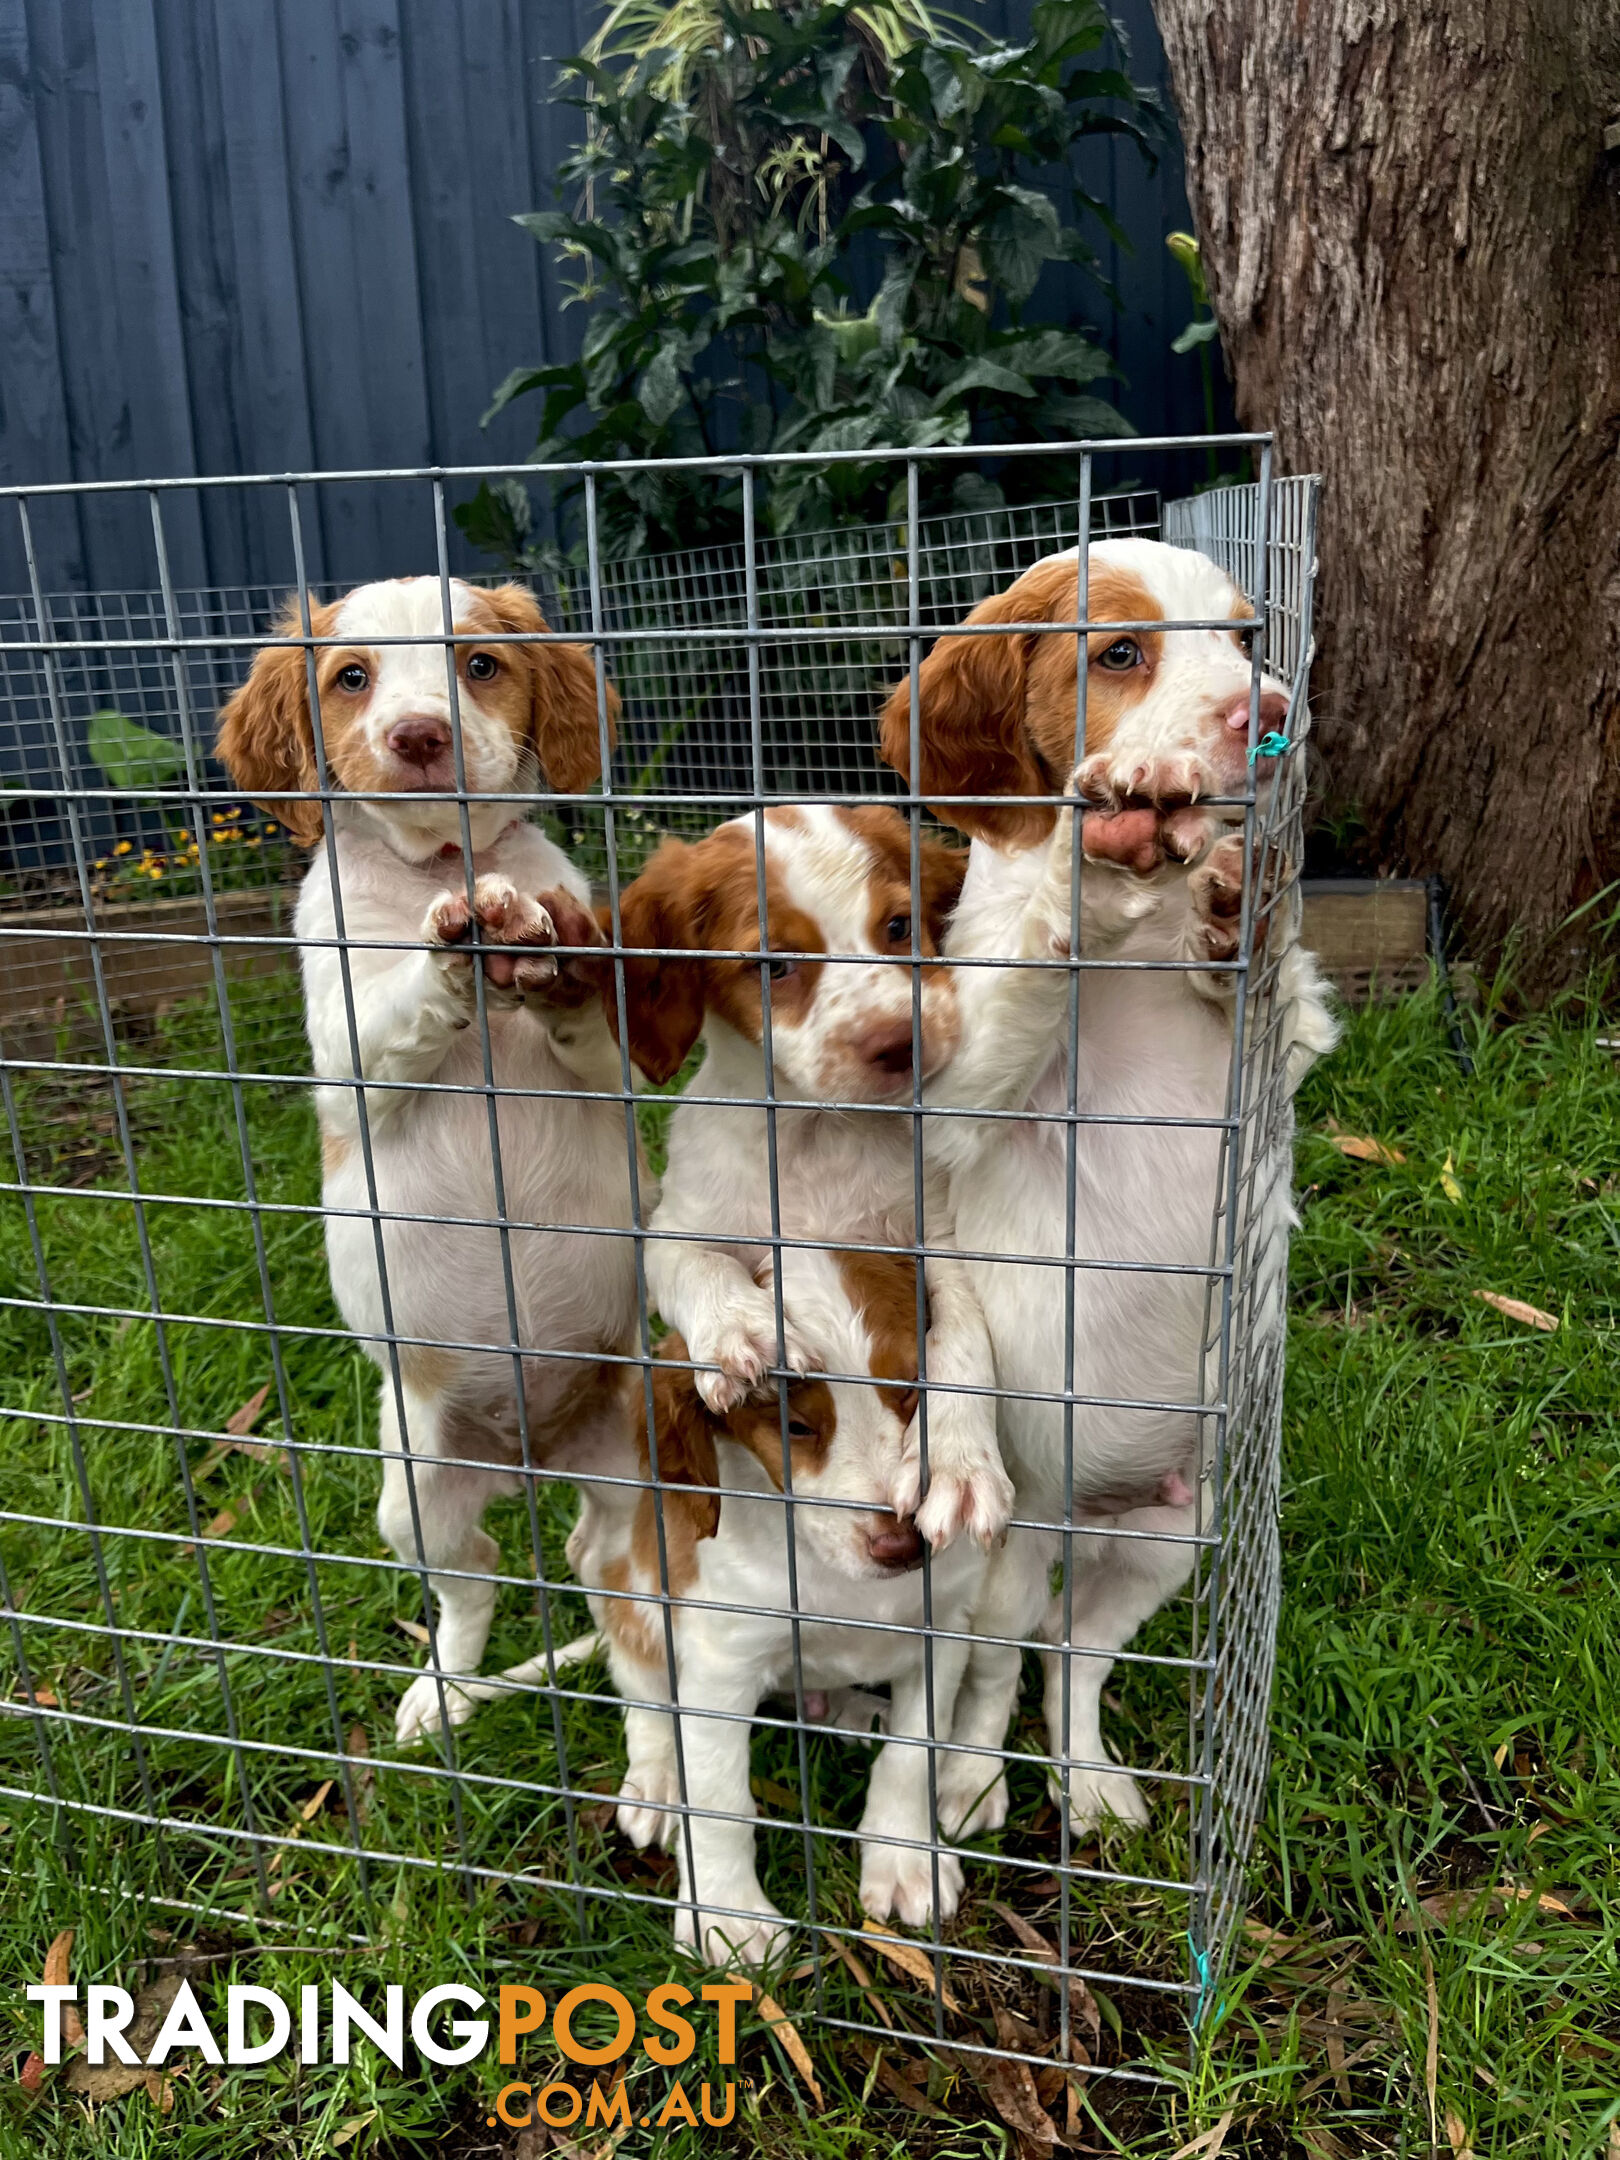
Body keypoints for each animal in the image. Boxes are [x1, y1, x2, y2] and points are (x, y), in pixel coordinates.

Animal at [217, 583, 648, 1745]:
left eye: (481, 665)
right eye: (350, 677)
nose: (419, 735)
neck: (451, 862)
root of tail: (531, 1455)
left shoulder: (618, 1069)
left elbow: (588, 1015)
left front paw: (547, 958)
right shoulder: (343, 1054)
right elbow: (397, 1010)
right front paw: (447, 950)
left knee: (600, 1556)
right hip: (414, 1487)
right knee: (476, 1579)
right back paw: (441, 1699)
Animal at [570, 1244, 989, 1969]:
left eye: (913, 1390)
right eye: (793, 1425)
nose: (903, 1545)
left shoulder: (942, 1632)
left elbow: (913, 1754)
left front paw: (905, 1860)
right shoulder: (721, 1666)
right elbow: (719, 1801)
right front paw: (729, 1919)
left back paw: (853, 1711)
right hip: (633, 1596)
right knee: (643, 1694)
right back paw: (657, 1782)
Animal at [881, 540, 1339, 1840]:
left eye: (1244, 636)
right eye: (1122, 651)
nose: (1272, 715)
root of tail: (1085, 1514)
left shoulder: (1278, 1077)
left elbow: (1274, 999)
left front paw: (1244, 910)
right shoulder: (952, 1098)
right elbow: (1032, 970)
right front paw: (1085, 870)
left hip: (1171, 1531)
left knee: (1070, 1656)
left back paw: (1088, 1785)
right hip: (1004, 1552)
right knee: (995, 1667)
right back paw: (968, 1786)